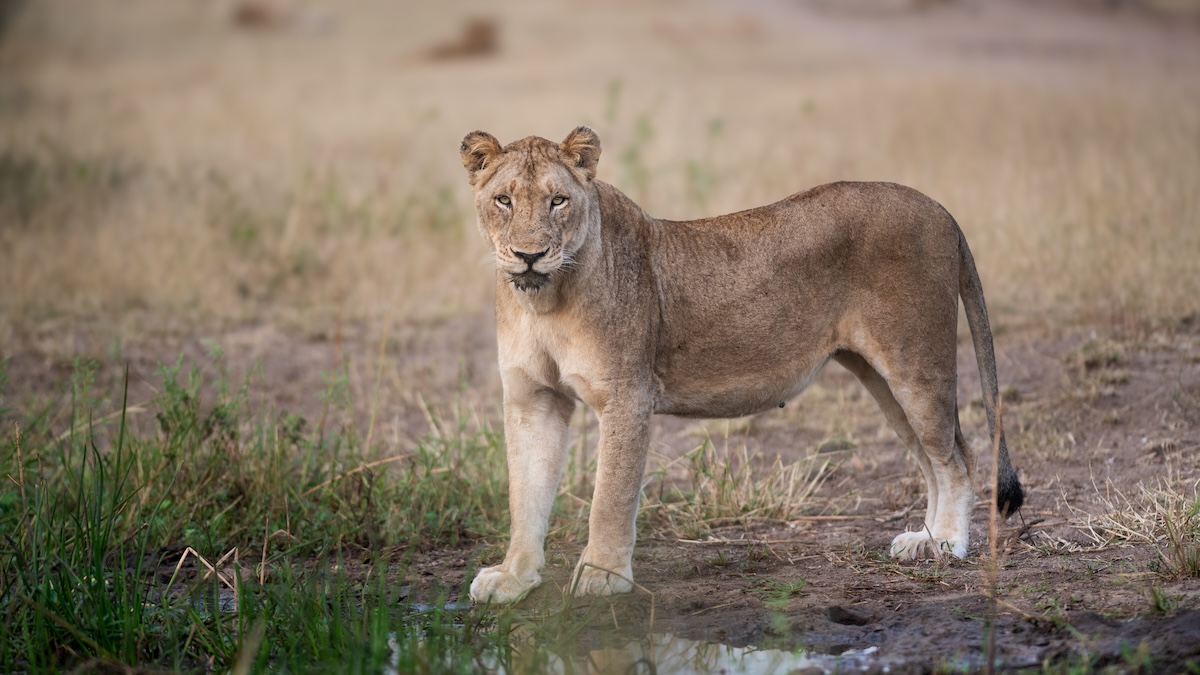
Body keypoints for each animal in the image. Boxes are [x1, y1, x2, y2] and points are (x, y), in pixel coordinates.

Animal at [460, 126, 1024, 604]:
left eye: (558, 200)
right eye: (504, 200)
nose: (528, 255)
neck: (544, 301)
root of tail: (940, 208)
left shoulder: (626, 396)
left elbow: (610, 498)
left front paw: (602, 577)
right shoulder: (533, 400)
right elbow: (525, 494)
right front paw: (514, 578)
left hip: (915, 364)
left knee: (958, 457)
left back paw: (947, 544)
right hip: (881, 378)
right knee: (933, 458)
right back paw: (923, 539)